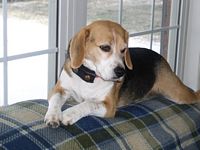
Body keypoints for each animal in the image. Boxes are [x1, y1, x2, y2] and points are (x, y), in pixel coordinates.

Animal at [44, 19, 200, 127]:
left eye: (124, 49)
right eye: (105, 47)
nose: (121, 72)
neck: (89, 76)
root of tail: (160, 56)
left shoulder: (108, 107)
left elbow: (88, 103)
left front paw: (69, 113)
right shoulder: (59, 89)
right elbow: (55, 101)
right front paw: (53, 116)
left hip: (179, 94)